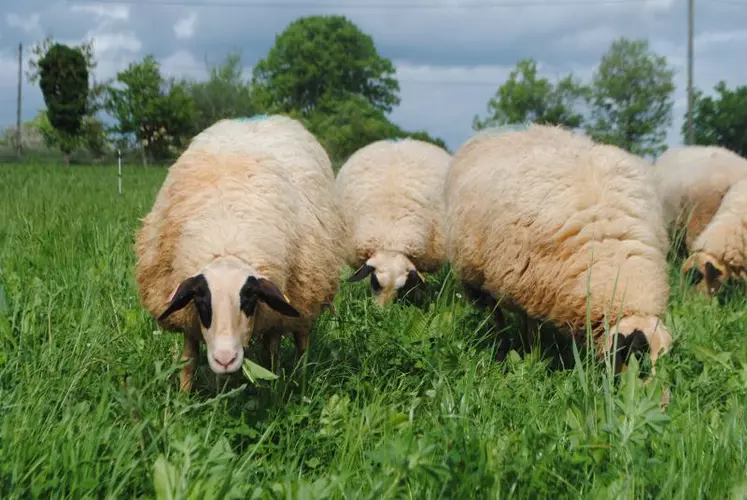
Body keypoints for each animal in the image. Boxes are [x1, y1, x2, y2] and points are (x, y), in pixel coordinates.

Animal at [133, 114, 350, 390]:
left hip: (308, 289)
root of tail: (262, 117)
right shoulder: (187, 317)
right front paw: (186, 395)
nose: (225, 359)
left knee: (298, 339)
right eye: (202, 300)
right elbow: (188, 360)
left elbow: (274, 350)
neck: (226, 240)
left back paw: (300, 376)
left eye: (249, 298)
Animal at [448, 125, 676, 378]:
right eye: (637, 357)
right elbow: (532, 332)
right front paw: (532, 357)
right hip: (475, 274)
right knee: (494, 314)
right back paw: (500, 344)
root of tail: (502, 132)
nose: (657, 392)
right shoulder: (532, 285)